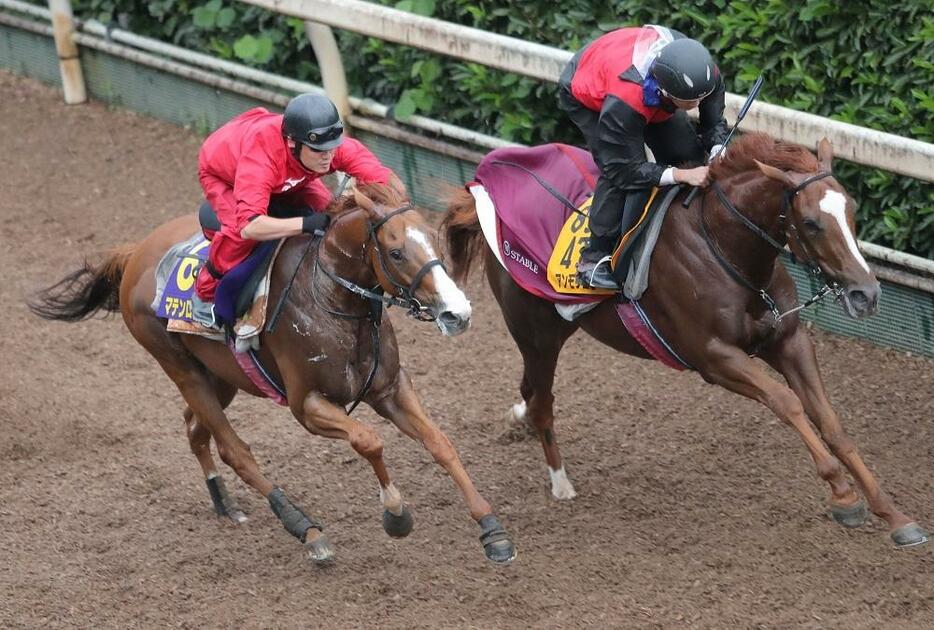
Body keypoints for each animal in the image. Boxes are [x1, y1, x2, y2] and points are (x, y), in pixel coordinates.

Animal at [31, 185, 520, 564]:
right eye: (397, 251)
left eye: (436, 243)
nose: (457, 313)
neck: (330, 300)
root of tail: (136, 254)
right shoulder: (308, 406)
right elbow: (369, 441)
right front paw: (396, 514)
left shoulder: (390, 389)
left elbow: (440, 443)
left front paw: (491, 529)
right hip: (181, 368)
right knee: (235, 450)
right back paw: (307, 530)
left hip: (221, 376)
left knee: (195, 429)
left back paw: (224, 503)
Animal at [444, 135, 928, 548]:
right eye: (810, 223)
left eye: (852, 211)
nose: (867, 294)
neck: (725, 247)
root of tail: (485, 191)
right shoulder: (714, 358)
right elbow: (787, 403)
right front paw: (843, 494)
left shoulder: (789, 340)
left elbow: (831, 423)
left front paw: (894, 515)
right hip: (538, 334)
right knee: (543, 399)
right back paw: (561, 481)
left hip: (555, 330)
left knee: (529, 390)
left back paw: (520, 420)